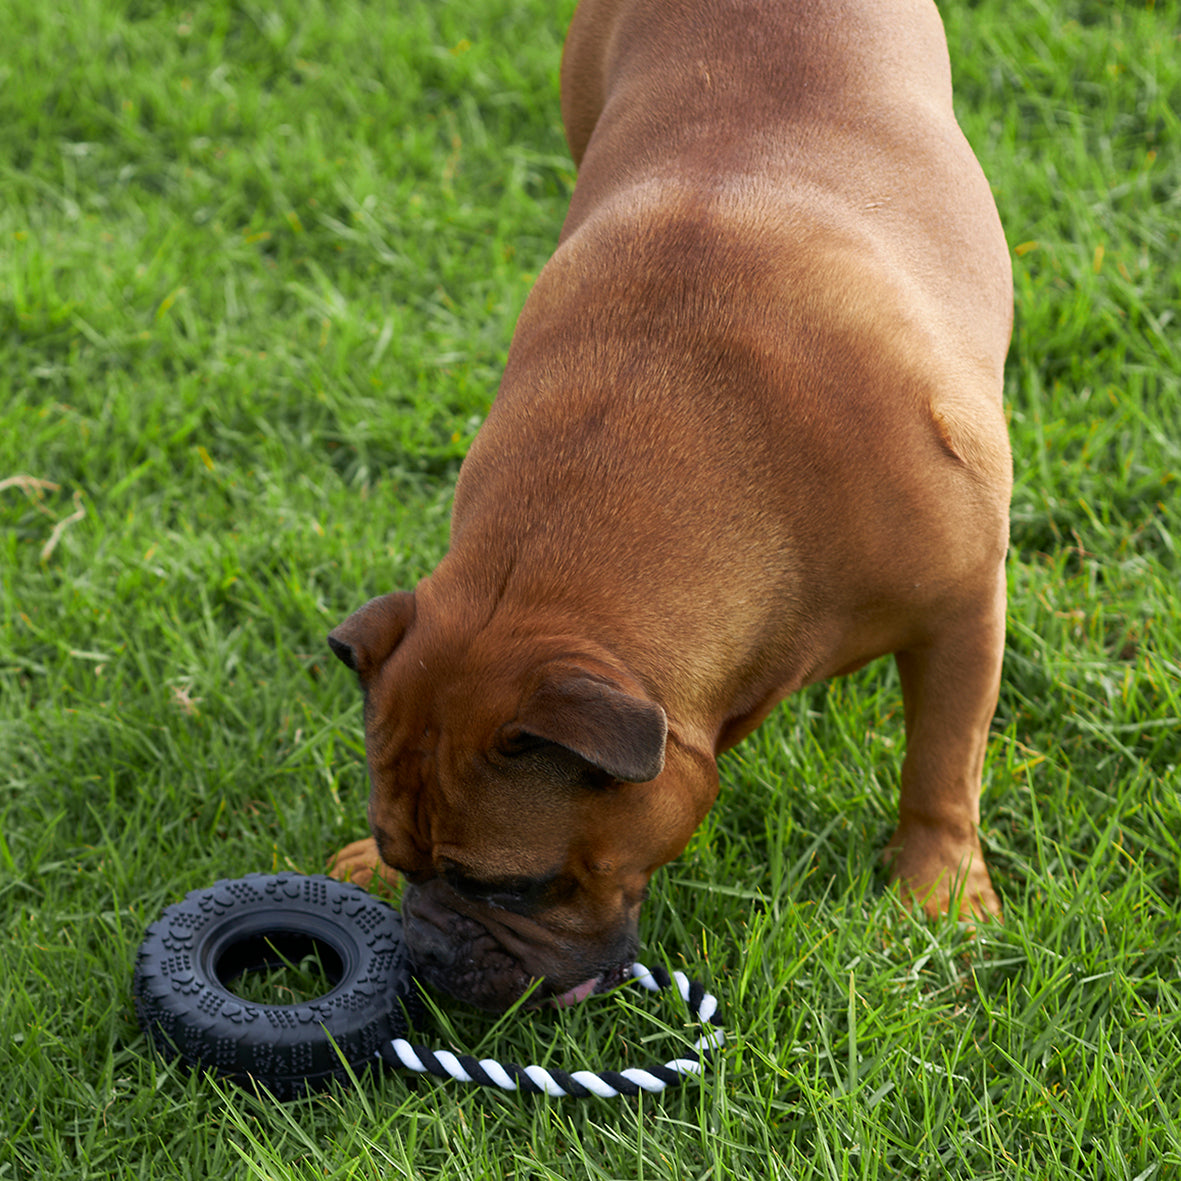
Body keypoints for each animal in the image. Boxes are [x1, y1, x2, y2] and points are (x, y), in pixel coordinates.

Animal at [328, 0, 1010, 1015]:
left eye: (513, 885)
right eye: (405, 855)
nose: (426, 954)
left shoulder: (964, 609)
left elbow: (942, 762)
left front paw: (938, 889)